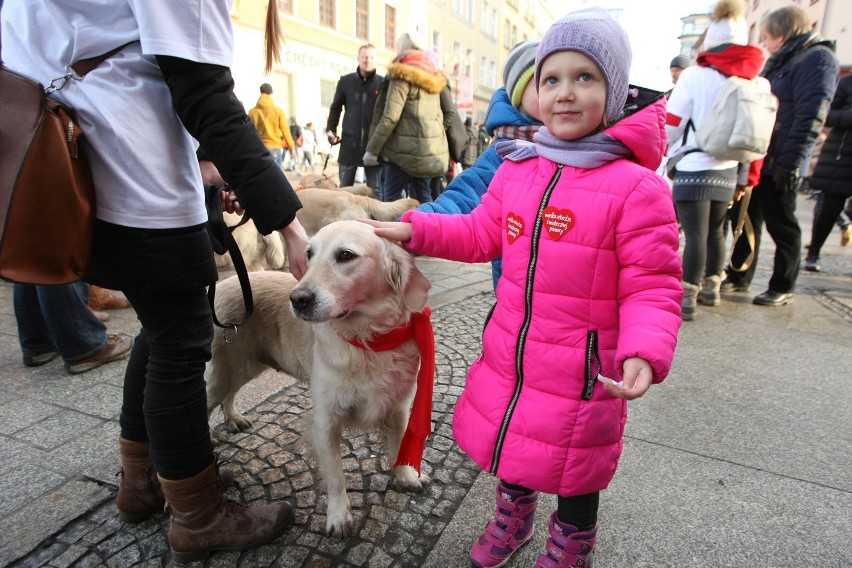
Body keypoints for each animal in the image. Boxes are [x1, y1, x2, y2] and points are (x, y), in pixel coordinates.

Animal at [206, 220, 432, 540]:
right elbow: (336, 476)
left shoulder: (398, 407)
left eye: (346, 255)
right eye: (309, 254)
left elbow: (399, 445)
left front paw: (407, 476)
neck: (366, 340)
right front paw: (338, 517)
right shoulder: (326, 419)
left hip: (245, 365)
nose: (298, 299)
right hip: (224, 370)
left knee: (230, 394)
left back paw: (234, 418)